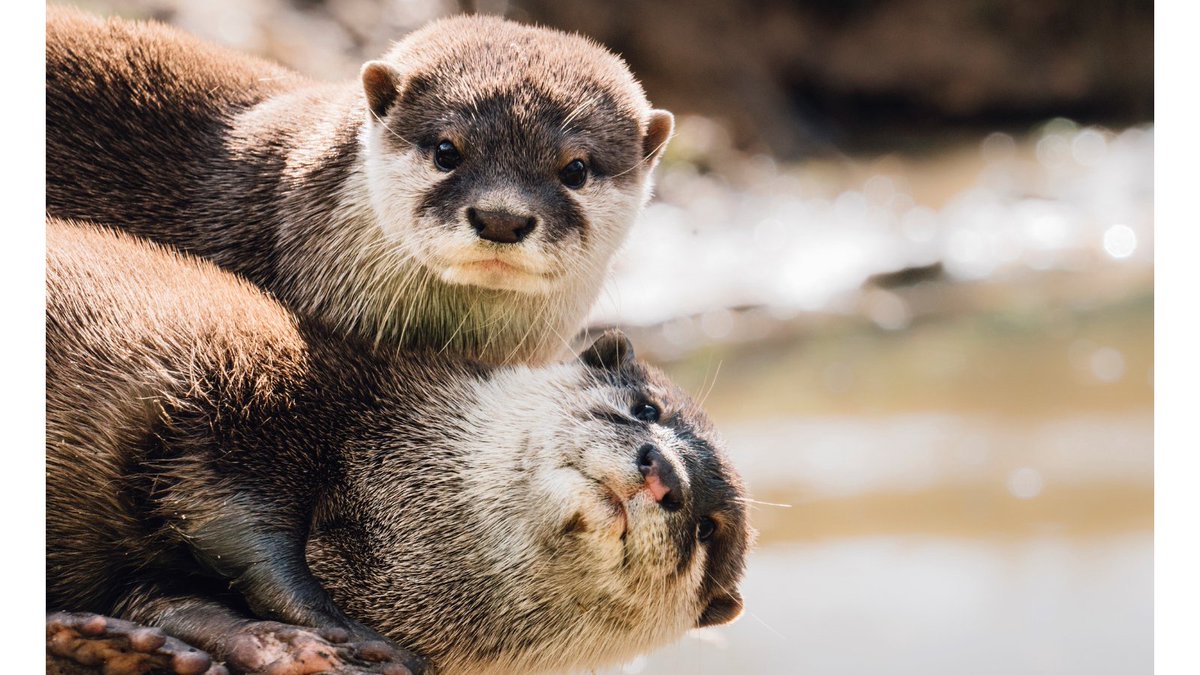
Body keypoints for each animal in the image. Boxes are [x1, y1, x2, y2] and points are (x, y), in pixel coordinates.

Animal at [46, 219, 750, 674]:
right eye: (647, 408)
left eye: (708, 528)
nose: (664, 473)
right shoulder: (247, 397)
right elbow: (235, 514)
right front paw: (338, 629)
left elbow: (162, 594)